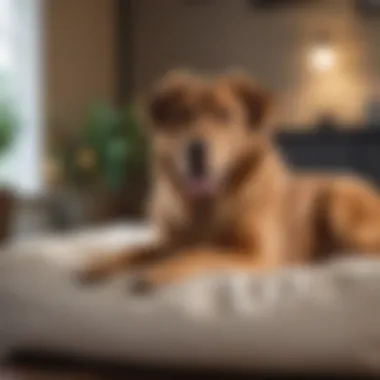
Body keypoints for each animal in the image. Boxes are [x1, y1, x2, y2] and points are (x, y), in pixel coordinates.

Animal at [78, 70, 380, 290]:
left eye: (225, 116)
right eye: (183, 115)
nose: (196, 149)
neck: (207, 206)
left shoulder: (255, 254)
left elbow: (200, 253)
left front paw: (158, 272)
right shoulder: (171, 241)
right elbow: (136, 249)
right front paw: (102, 263)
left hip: (340, 201)